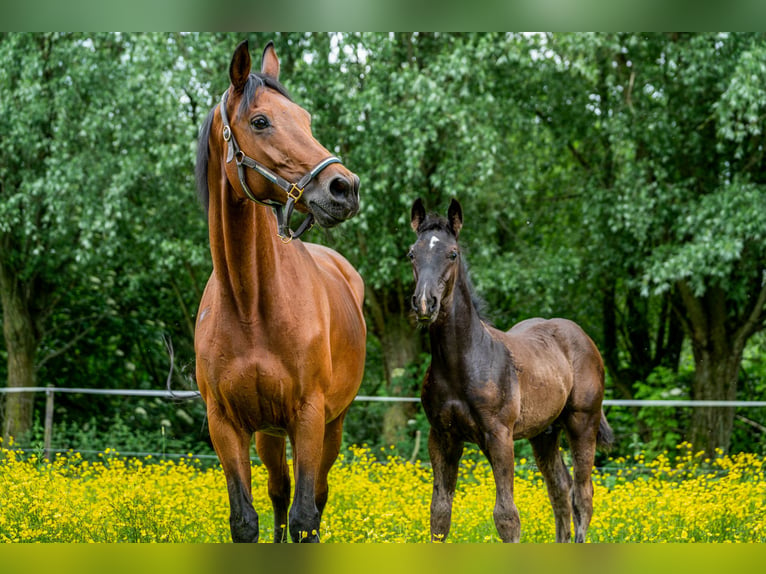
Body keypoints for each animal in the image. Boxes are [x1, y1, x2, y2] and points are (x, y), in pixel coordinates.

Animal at [196, 40, 368, 544]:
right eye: (260, 121)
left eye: (306, 119)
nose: (344, 187)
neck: (250, 303)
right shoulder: (226, 424)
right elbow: (247, 520)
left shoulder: (309, 416)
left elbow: (305, 518)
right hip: (270, 433)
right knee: (278, 491)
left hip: (331, 425)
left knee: (318, 495)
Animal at [412, 199, 616, 544]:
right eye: (412, 253)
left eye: (452, 254)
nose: (425, 304)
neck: (461, 363)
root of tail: (583, 337)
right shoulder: (441, 436)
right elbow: (439, 514)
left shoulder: (499, 436)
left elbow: (507, 516)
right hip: (544, 433)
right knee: (559, 490)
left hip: (582, 422)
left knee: (582, 496)